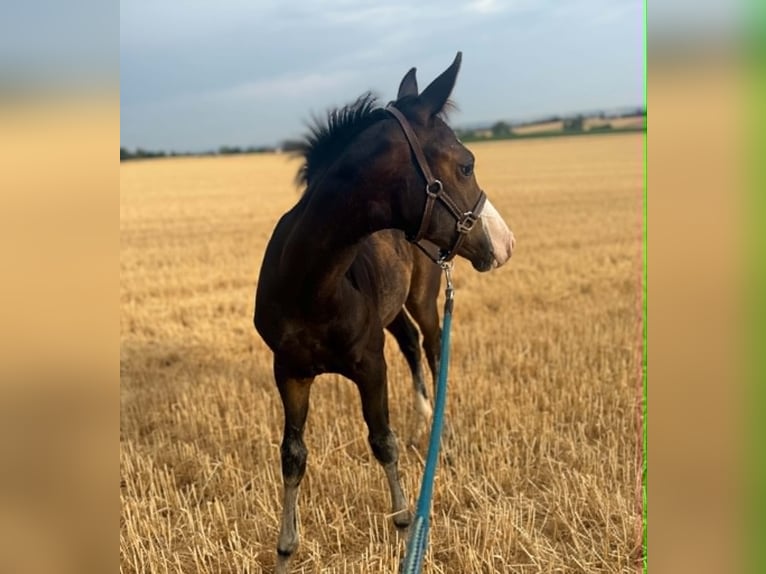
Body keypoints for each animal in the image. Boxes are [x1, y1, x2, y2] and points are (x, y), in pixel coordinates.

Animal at [253, 52, 515, 570]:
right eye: (466, 164)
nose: (505, 244)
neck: (314, 285)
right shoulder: (289, 370)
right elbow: (293, 454)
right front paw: (285, 551)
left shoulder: (370, 364)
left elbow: (382, 441)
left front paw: (404, 530)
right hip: (392, 313)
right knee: (411, 343)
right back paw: (425, 417)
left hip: (424, 300)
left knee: (432, 349)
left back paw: (438, 431)